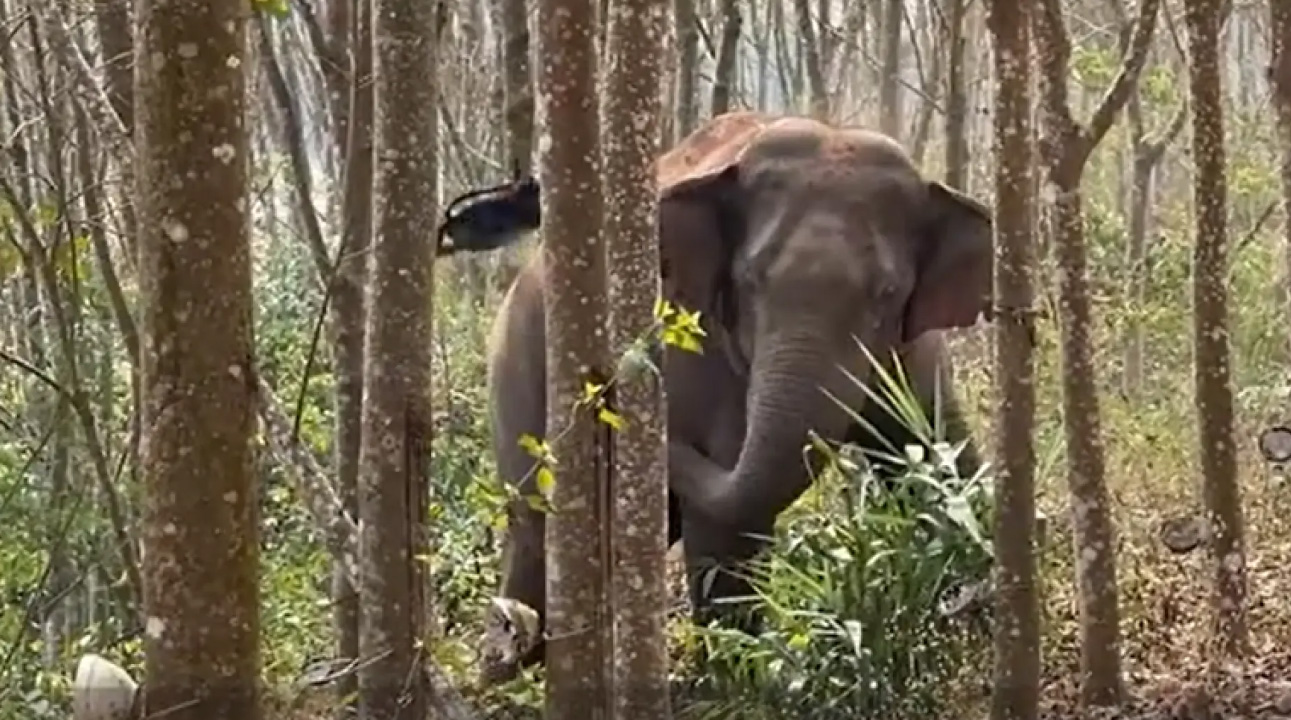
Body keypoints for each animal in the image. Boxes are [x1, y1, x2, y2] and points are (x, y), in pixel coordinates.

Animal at [438, 110, 991, 686]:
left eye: (887, 293)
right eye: (749, 280)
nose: (618, 385)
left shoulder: (915, 353)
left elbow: (942, 458)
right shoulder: (693, 345)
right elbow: (729, 524)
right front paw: (742, 681)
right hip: (518, 375)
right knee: (535, 538)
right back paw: (503, 672)